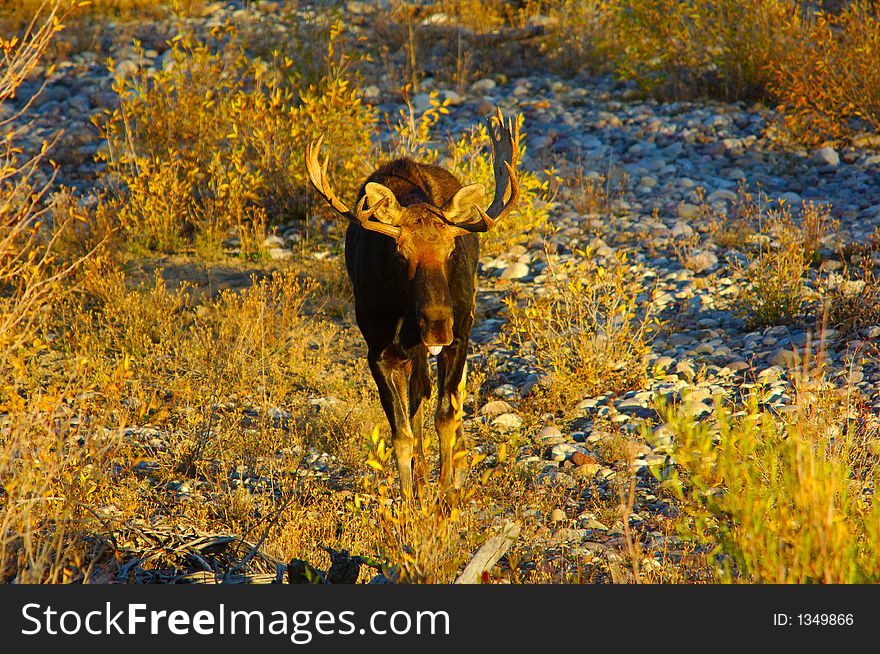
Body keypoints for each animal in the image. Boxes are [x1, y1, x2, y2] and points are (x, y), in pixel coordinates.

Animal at [306, 109, 520, 508]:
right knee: (418, 398)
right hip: (412, 351)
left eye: (450, 251)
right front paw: (410, 503)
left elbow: (446, 415)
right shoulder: (380, 350)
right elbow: (402, 433)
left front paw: (447, 497)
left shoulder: (459, 336)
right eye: (400, 254)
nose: (436, 322)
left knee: (443, 398)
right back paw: (422, 482)